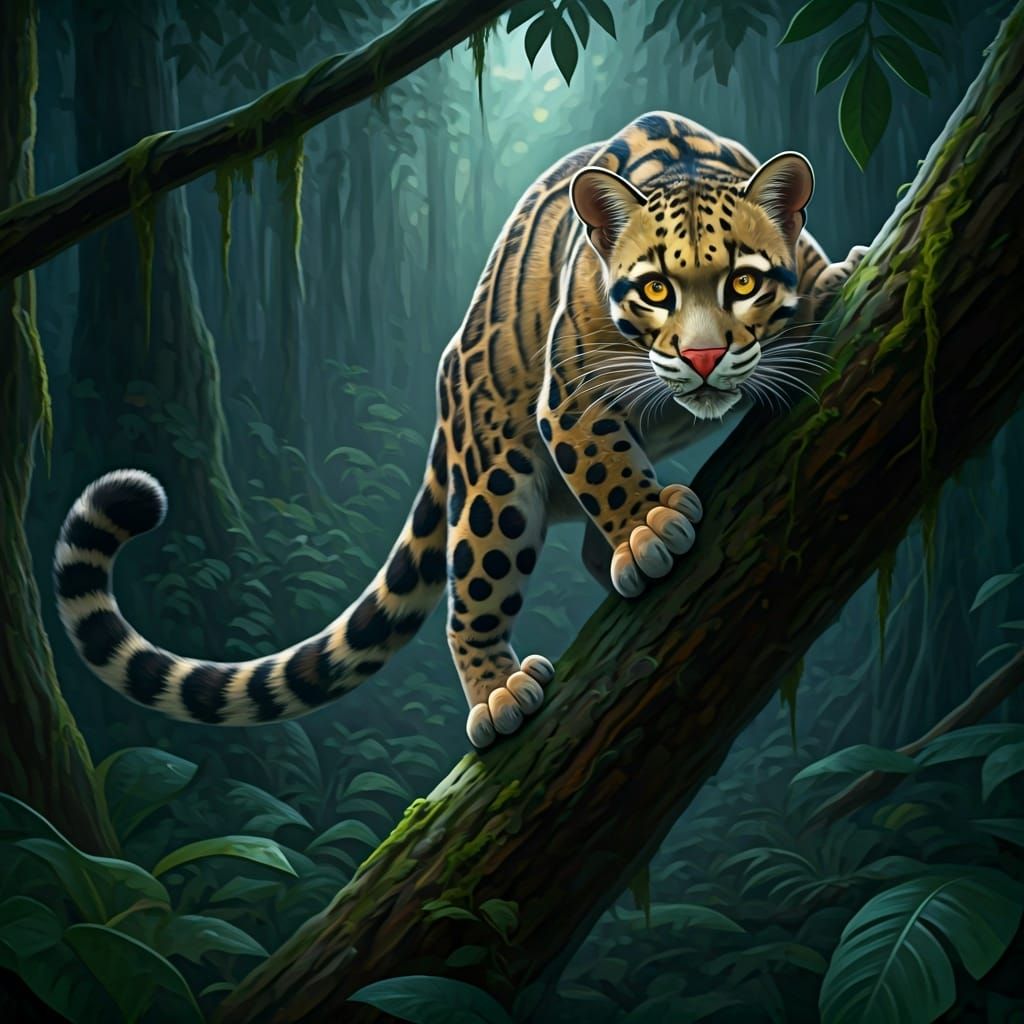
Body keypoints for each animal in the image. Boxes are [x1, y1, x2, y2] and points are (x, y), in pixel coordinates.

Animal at [54, 111, 866, 748]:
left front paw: (832, 277)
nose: (702, 358)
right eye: (656, 290)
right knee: (471, 598)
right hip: (493, 486)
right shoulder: (569, 398)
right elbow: (605, 466)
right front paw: (645, 523)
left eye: (743, 282)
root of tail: (448, 387)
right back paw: (500, 692)